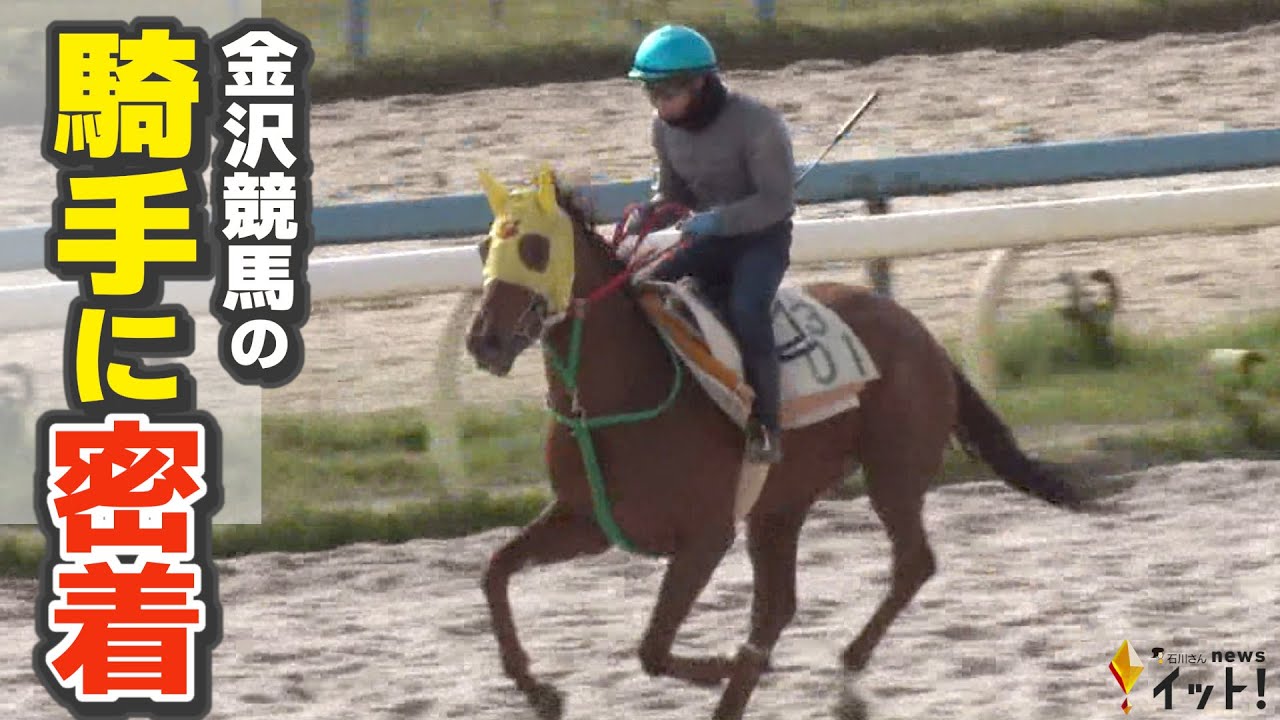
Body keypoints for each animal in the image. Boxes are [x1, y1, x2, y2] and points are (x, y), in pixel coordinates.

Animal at [463, 166, 1091, 720]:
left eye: (537, 249)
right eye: (482, 246)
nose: (483, 341)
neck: (622, 394)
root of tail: (920, 332)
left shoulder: (705, 537)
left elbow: (653, 649)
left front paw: (731, 668)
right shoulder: (587, 521)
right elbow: (495, 570)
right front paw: (539, 691)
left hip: (892, 470)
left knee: (912, 564)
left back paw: (843, 671)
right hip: (780, 506)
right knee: (779, 607)